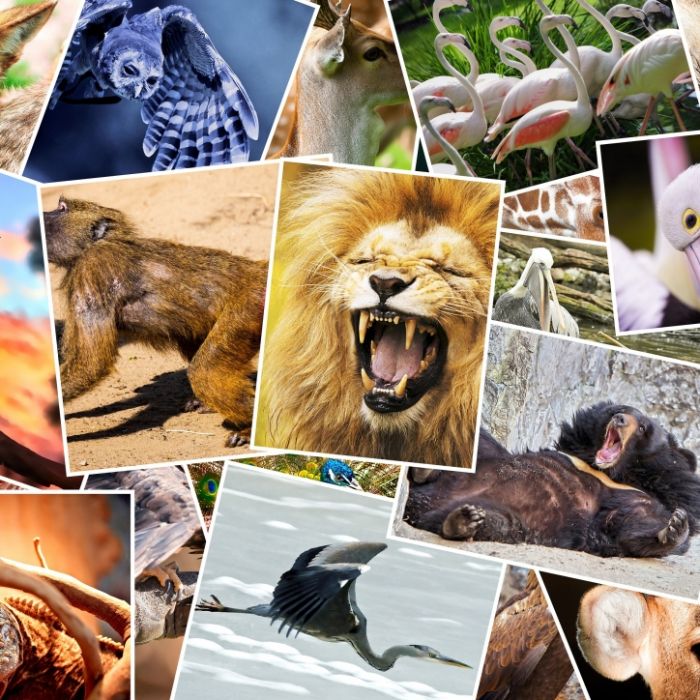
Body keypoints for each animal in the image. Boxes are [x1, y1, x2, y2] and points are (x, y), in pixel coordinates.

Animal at [43, 197, 268, 447]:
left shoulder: (93, 268)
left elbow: (92, 362)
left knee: (204, 370)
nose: (42, 215)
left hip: (249, 303)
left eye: (61, 208)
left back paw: (249, 429)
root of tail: (258, 269)